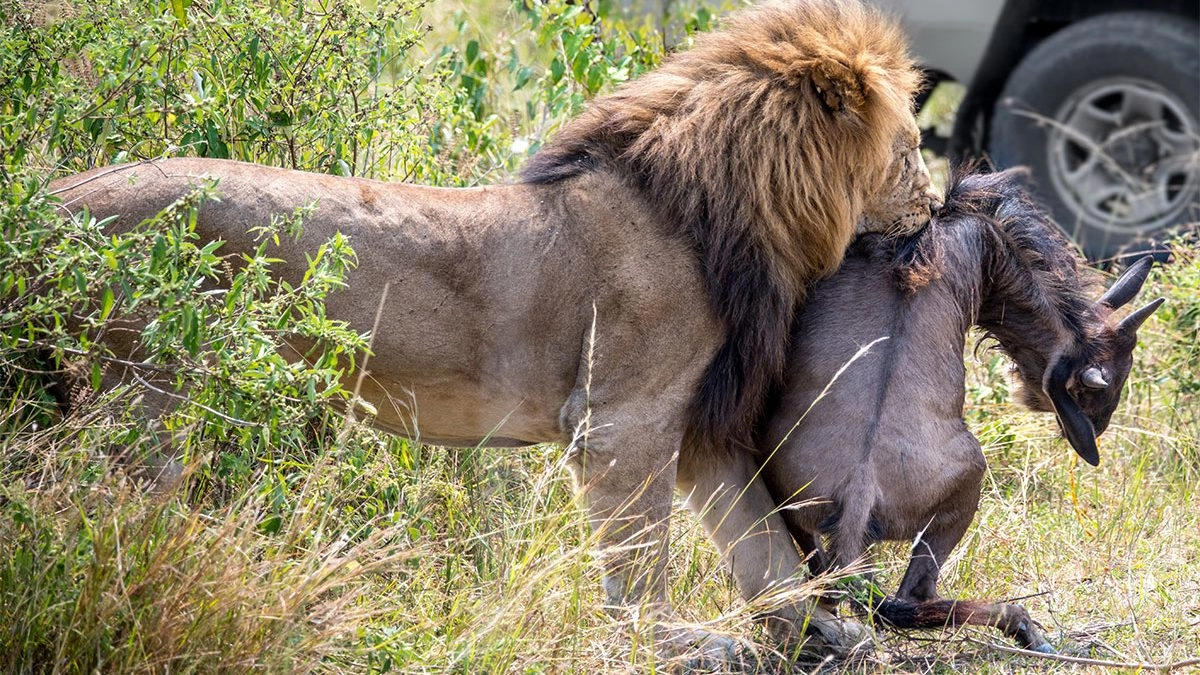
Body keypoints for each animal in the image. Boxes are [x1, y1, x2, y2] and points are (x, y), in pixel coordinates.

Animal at [49, 0, 936, 658]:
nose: (936, 205)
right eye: (911, 150)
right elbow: (642, 557)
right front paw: (663, 642)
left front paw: (825, 630)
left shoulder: (696, 425)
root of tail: (51, 198)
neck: (730, 215)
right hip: (142, 398)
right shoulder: (623, 419)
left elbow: (763, 547)